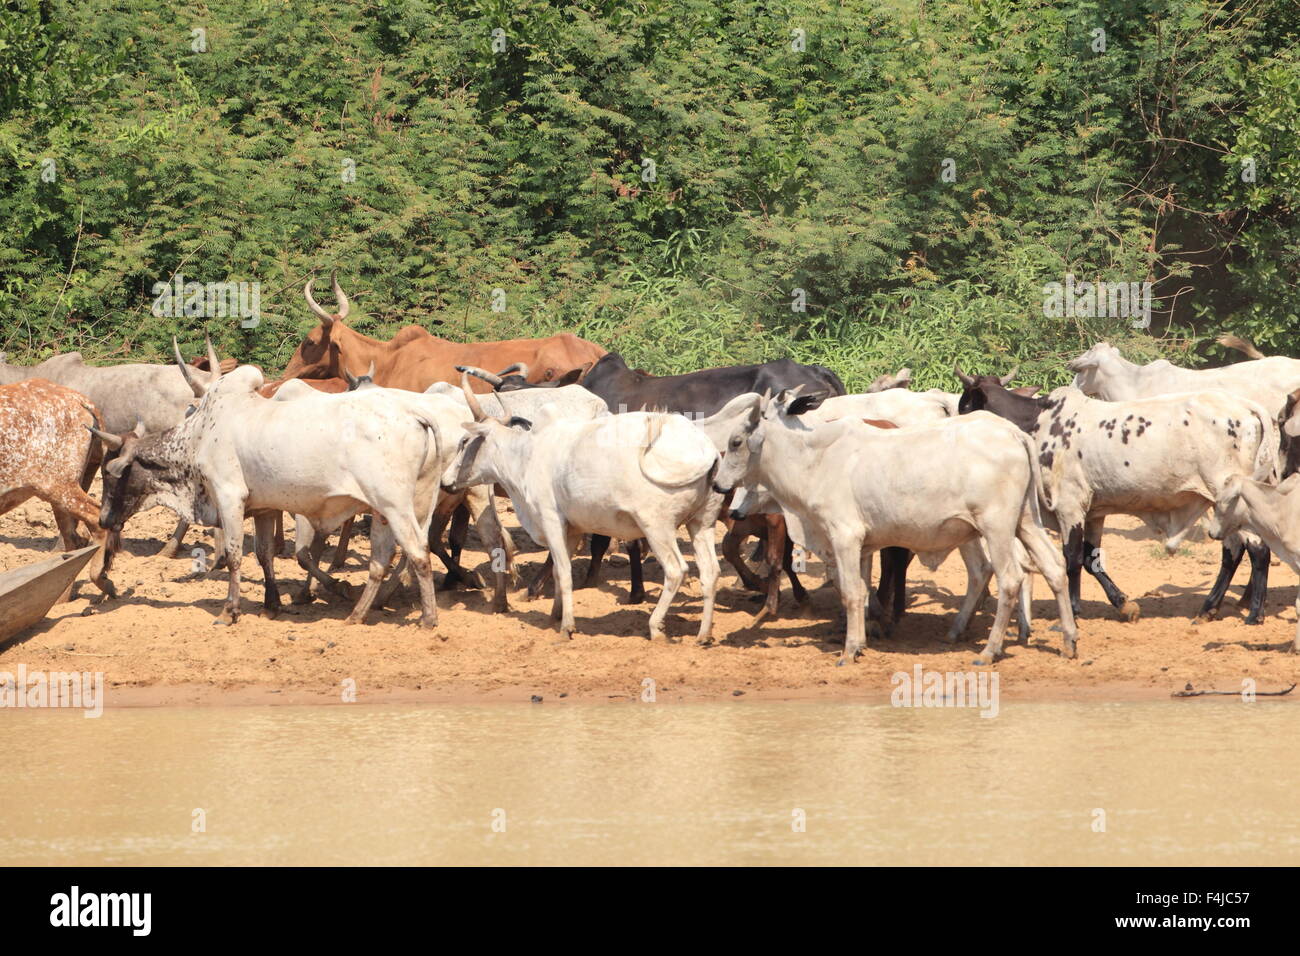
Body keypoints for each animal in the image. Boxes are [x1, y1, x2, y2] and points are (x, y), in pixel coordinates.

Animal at [91, 347, 458, 629]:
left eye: (110, 473)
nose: (104, 520)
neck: (198, 435)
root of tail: (415, 414)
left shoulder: (229, 497)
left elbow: (236, 555)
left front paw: (229, 611)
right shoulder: (265, 508)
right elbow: (264, 554)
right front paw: (271, 604)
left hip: (396, 507)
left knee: (418, 553)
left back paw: (427, 619)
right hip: (390, 510)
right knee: (382, 562)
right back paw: (355, 615)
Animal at [442, 378, 722, 643]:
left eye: (464, 441)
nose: (445, 481)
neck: (527, 456)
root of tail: (707, 450)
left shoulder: (551, 520)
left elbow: (564, 572)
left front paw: (567, 627)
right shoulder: (572, 528)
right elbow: (557, 570)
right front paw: (556, 613)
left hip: (657, 526)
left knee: (676, 571)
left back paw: (656, 627)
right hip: (701, 523)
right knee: (710, 572)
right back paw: (704, 634)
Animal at [710, 390, 1078, 663]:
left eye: (736, 442)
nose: (717, 484)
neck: (813, 459)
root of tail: (1013, 432)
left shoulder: (844, 537)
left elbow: (850, 592)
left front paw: (848, 651)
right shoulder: (863, 545)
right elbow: (859, 590)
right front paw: (860, 641)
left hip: (997, 527)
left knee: (1010, 579)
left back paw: (990, 649)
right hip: (1024, 522)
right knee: (1051, 567)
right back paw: (1069, 640)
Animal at [956, 370, 1279, 623]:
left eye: (965, 405)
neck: (1036, 423)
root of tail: (1247, 407)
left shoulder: (1069, 505)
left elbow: (1072, 558)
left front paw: (1074, 611)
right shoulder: (1093, 512)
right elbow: (1091, 560)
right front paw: (1124, 604)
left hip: (1227, 498)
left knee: (1257, 549)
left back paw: (1254, 613)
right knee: (1235, 551)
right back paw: (1208, 609)